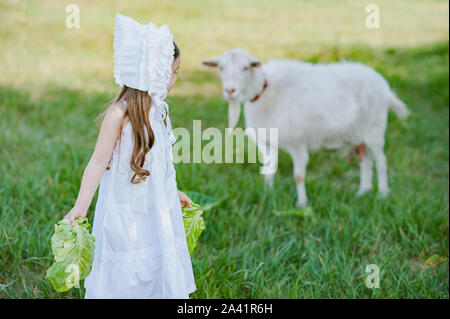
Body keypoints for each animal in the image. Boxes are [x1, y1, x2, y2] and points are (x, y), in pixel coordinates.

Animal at [202, 48, 410, 206]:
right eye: (221, 67)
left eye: (246, 67)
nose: (230, 91)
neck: (265, 92)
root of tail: (384, 87)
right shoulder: (267, 142)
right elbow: (268, 170)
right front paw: (268, 194)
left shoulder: (298, 143)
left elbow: (298, 176)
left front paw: (302, 204)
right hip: (355, 137)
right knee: (365, 161)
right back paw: (362, 192)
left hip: (375, 129)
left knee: (381, 161)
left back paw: (382, 194)